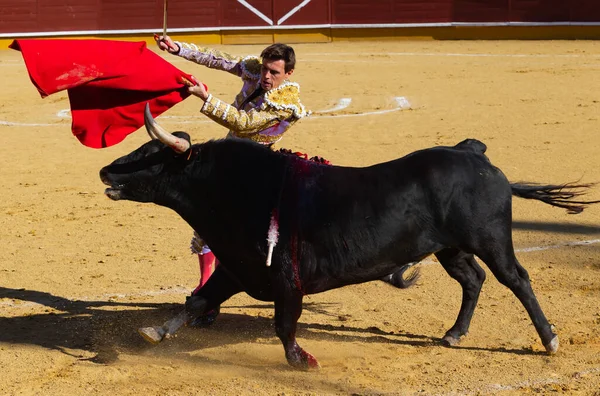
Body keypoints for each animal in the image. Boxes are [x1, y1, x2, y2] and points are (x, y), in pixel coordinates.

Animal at [101, 104, 596, 368]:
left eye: (150, 155)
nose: (106, 170)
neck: (234, 189)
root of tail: (471, 152)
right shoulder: (238, 269)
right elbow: (196, 301)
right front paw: (153, 332)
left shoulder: (285, 278)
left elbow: (284, 324)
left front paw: (301, 361)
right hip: (448, 249)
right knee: (473, 280)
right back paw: (454, 334)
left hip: (490, 240)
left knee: (517, 279)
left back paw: (549, 340)